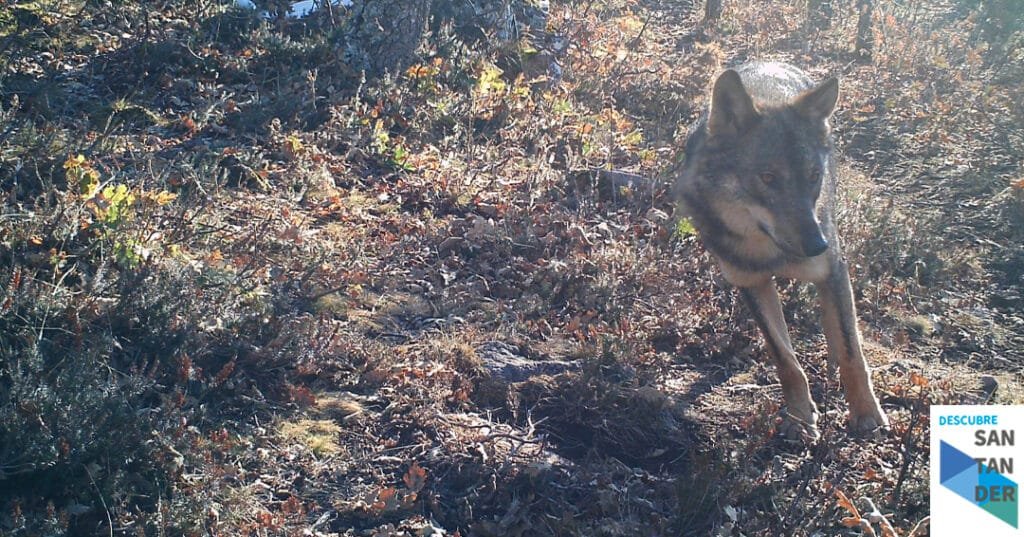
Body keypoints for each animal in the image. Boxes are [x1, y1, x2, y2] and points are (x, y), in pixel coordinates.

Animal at [673, 62, 889, 440]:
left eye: (814, 176)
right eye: (768, 177)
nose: (818, 245)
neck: (768, 252)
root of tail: (774, 61)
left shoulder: (833, 269)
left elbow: (851, 352)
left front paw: (866, 414)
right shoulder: (751, 283)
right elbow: (785, 359)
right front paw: (801, 418)